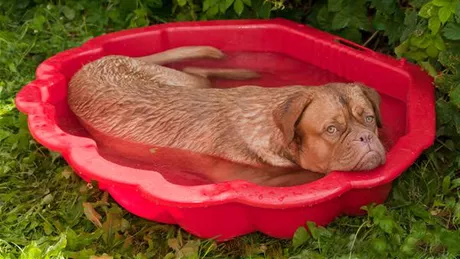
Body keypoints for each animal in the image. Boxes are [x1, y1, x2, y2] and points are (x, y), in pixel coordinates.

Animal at [67, 46, 384, 187]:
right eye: (331, 129)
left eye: (369, 118)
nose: (365, 137)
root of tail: (92, 63)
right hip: (183, 82)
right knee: (198, 72)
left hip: (182, 81)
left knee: (197, 72)